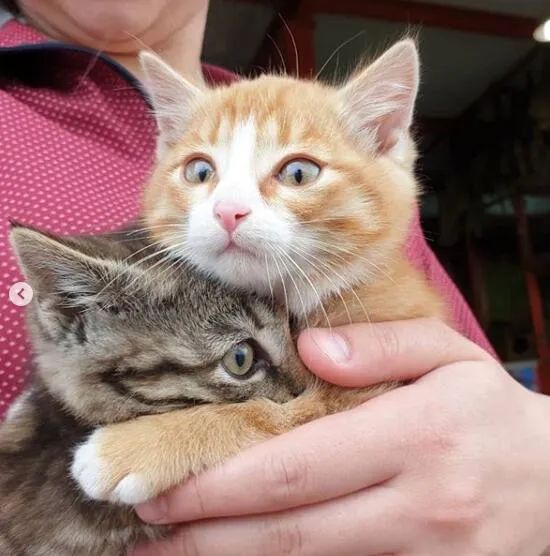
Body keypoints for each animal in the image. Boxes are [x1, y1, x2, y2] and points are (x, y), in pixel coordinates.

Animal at [70, 39, 448, 508]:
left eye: (299, 173)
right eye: (200, 171)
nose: (228, 210)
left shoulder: (376, 390)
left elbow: (271, 413)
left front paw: (137, 444)